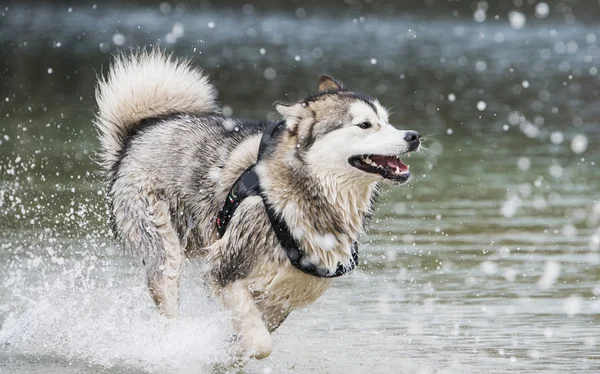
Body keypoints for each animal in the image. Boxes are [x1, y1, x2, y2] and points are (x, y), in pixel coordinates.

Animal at [95, 49, 422, 360]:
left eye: (387, 121)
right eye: (365, 125)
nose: (413, 135)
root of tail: (137, 135)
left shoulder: (285, 293)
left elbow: (253, 331)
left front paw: (229, 351)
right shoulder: (223, 270)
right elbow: (260, 342)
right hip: (163, 250)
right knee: (169, 306)